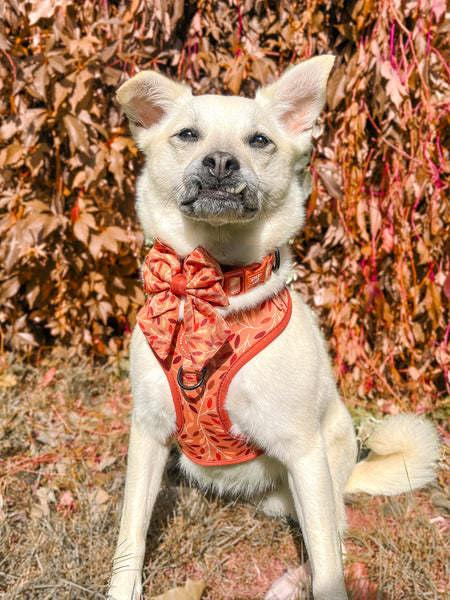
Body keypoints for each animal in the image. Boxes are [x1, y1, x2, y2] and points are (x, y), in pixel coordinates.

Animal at [107, 57, 438, 600]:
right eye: (188, 134)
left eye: (258, 140)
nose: (221, 163)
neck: (216, 290)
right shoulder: (149, 433)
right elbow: (131, 531)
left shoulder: (303, 452)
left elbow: (327, 563)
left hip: (319, 473)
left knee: (334, 534)